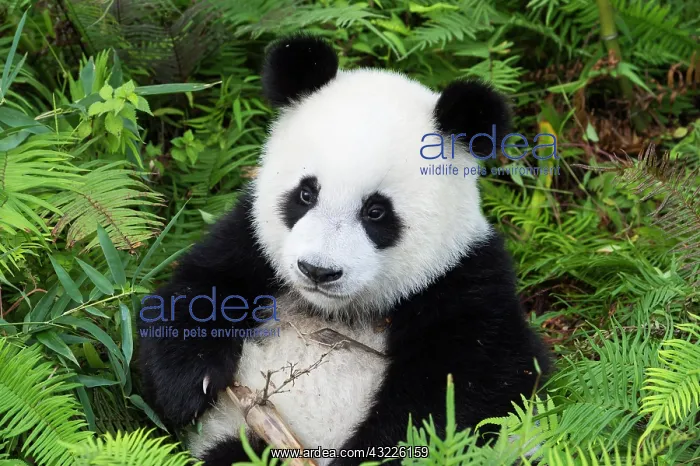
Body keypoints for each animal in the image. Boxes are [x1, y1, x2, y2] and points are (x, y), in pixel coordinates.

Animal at [138, 35, 551, 466]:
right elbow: (194, 290)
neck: (335, 312)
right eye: (306, 194)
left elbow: (466, 388)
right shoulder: (250, 241)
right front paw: (189, 385)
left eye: (376, 212)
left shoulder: (463, 278)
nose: (318, 270)